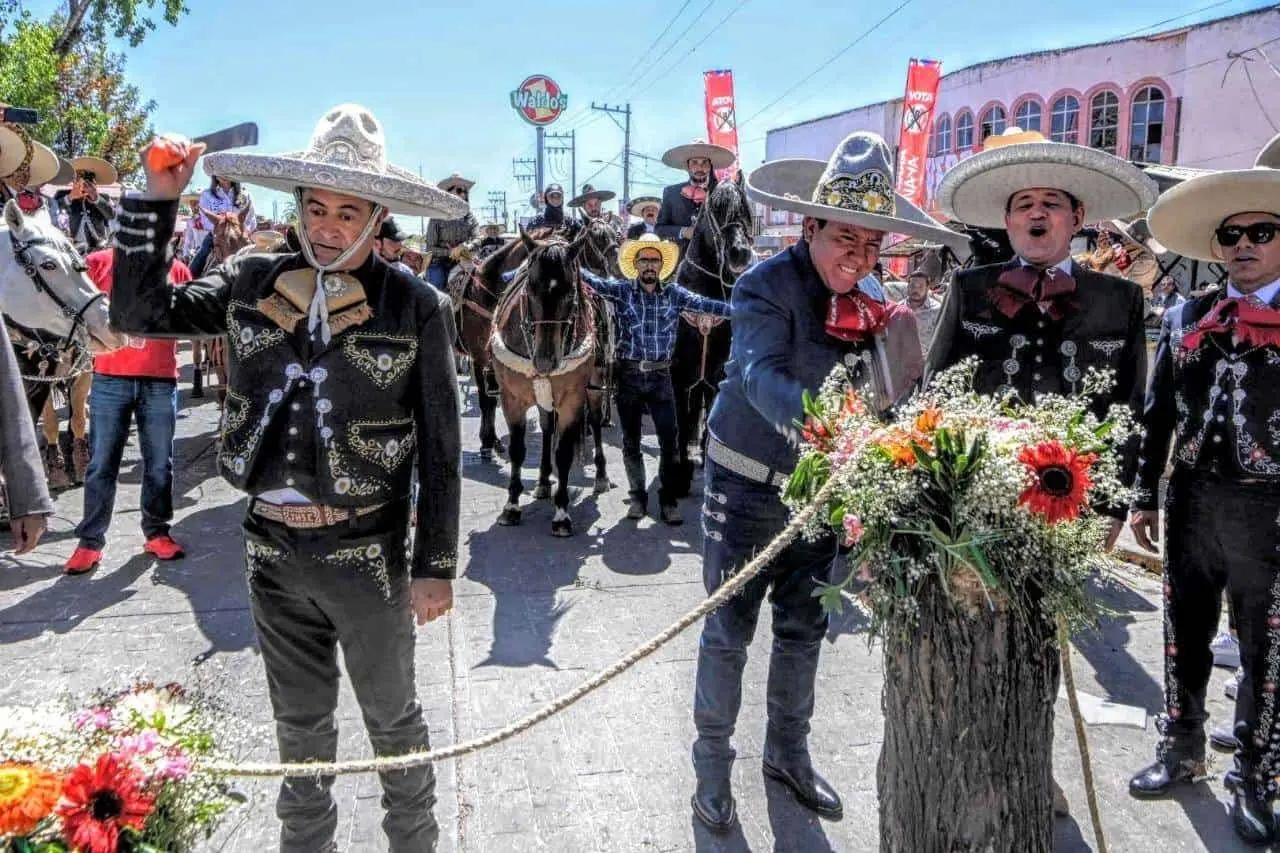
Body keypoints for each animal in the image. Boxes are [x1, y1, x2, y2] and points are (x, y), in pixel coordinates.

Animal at [488, 225, 609, 532]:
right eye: (530, 290)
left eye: (570, 293)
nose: (545, 361)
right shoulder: (511, 398)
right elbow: (517, 450)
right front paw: (511, 506)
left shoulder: (572, 399)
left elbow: (564, 453)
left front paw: (562, 513)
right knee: (545, 427)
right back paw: (543, 481)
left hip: (595, 387)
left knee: (594, 421)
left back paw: (600, 476)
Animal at [665, 172, 752, 494]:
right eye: (715, 208)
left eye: (745, 208)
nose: (740, 254)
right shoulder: (680, 378)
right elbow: (681, 423)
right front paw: (679, 475)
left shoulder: (715, 376)